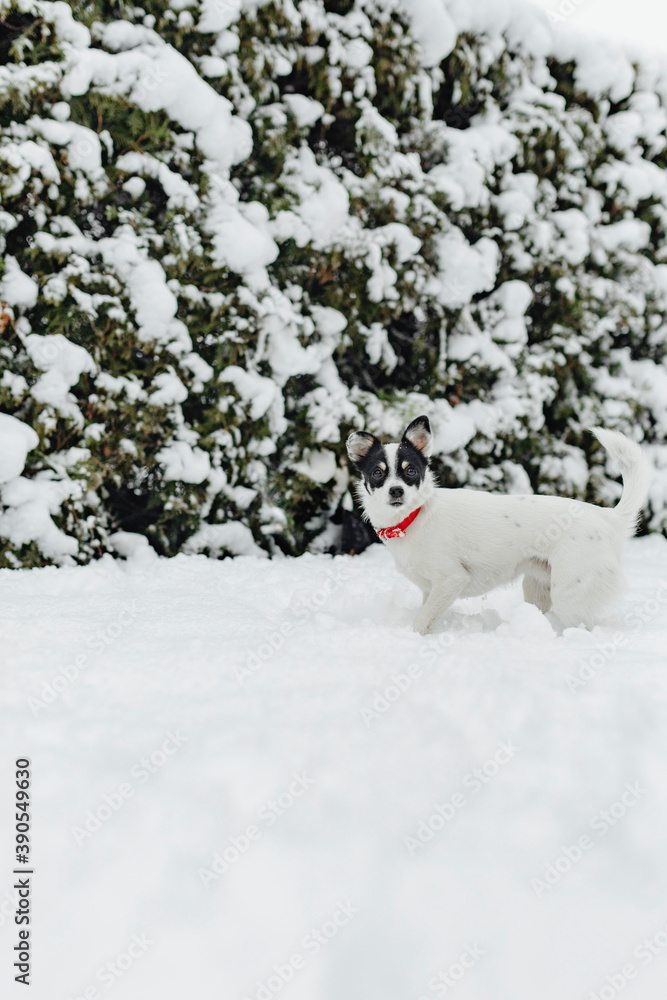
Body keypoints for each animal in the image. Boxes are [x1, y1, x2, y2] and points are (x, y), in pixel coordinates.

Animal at [348, 414, 648, 632]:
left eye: (410, 470)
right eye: (377, 473)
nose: (396, 491)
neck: (414, 517)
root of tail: (606, 516)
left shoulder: (450, 580)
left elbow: (421, 620)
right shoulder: (431, 588)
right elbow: (428, 614)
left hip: (570, 593)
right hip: (537, 588)